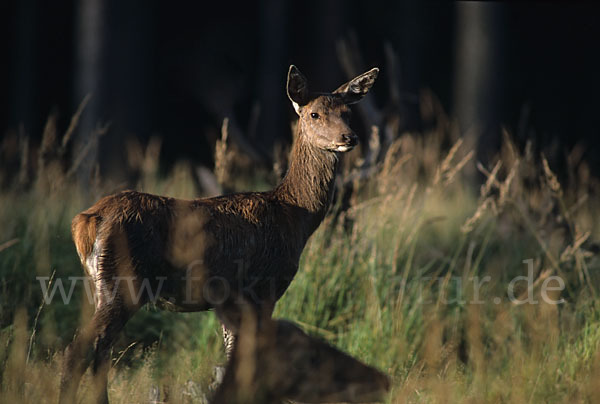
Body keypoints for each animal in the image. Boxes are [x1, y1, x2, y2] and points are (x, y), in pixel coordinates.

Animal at [58, 64, 378, 402]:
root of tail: (86, 220)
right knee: (79, 350)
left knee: (100, 353)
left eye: (347, 112)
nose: (349, 137)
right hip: (123, 282)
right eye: (315, 113)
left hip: (98, 286)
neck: (294, 215)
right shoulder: (264, 286)